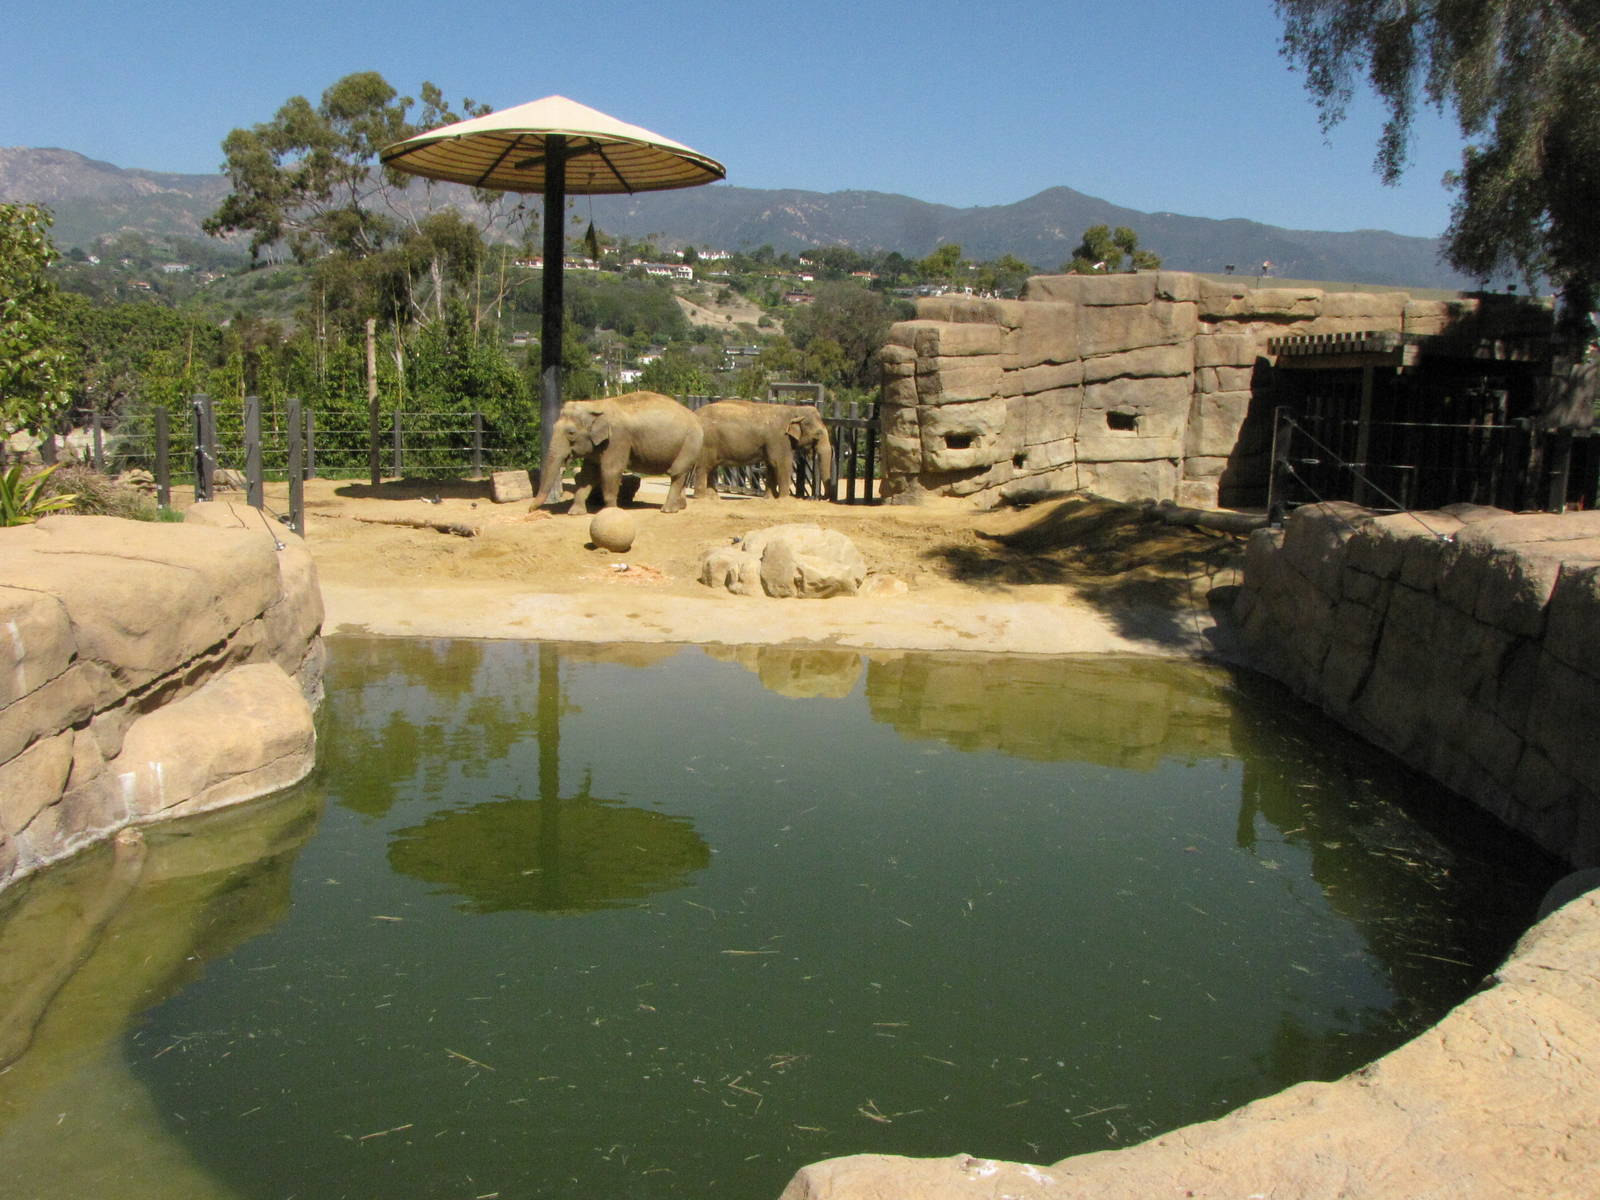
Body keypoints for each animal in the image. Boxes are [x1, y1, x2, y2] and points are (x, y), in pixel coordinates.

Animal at [537, 391, 703, 514]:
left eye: (571, 433)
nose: (532, 510)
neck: (596, 404)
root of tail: (695, 416)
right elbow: (587, 474)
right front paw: (575, 513)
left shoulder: (617, 438)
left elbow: (610, 471)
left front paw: (610, 511)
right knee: (682, 473)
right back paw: (679, 507)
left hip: (690, 441)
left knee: (676, 472)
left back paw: (667, 510)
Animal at [692, 399, 835, 500]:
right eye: (818, 434)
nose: (820, 497)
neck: (794, 410)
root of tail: (694, 413)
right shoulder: (779, 438)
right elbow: (781, 463)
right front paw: (785, 499)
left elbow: (771, 465)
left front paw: (770, 498)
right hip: (706, 443)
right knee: (704, 467)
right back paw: (701, 498)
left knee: (711, 467)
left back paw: (713, 498)